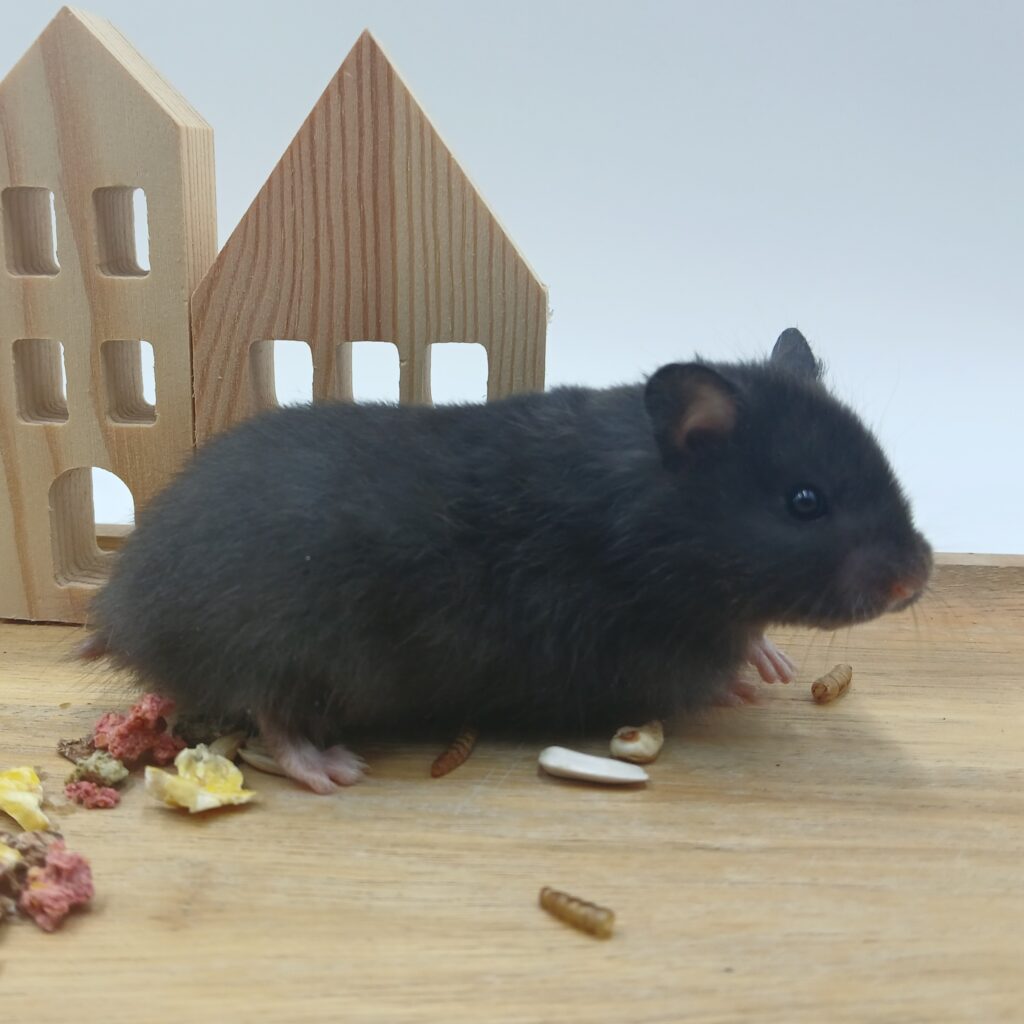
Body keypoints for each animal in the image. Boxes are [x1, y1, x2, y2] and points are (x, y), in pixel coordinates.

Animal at [82, 329, 932, 792]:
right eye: (804, 502)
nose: (918, 577)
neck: (647, 524)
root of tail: (122, 610)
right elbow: (707, 674)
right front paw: (742, 690)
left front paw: (773, 663)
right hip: (291, 645)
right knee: (270, 714)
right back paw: (333, 769)